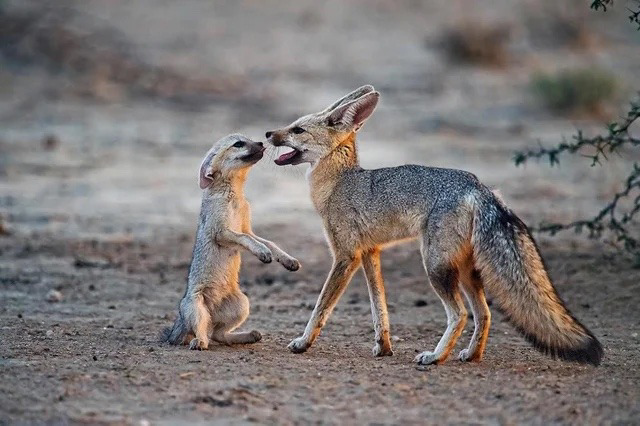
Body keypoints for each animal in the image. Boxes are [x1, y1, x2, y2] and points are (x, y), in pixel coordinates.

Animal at [264, 86, 600, 366]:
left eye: (297, 129)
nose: (267, 133)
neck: (338, 183)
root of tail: (480, 186)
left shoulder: (346, 256)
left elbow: (321, 307)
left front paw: (303, 342)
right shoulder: (370, 253)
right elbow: (379, 308)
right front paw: (383, 346)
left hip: (435, 265)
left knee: (460, 314)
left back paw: (436, 357)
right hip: (465, 270)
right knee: (484, 313)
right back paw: (471, 355)